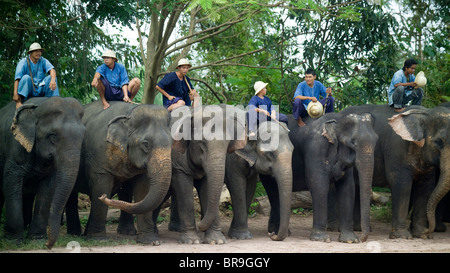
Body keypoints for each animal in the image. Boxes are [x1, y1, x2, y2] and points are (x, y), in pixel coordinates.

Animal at [0, 96, 85, 248]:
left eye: (83, 136)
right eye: (53, 135)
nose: (48, 245)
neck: (37, 108)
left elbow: (48, 188)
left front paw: (37, 240)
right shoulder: (15, 149)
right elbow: (11, 182)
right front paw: (14, 241)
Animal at [65, 100, 172, 242]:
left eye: (172, 143)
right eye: (145, 144)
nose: (103, 197)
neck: (128, 112)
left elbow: (143, 189)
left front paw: (150, 241)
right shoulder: (98, 157)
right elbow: (101, 185)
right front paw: (98, 239)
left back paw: (124, 232)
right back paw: (75, 233)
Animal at [262, 111, 378, 242]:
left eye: (376, 140)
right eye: (352, 143)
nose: (363, 238)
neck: (338, 120)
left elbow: (348, 188)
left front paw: (350, 240)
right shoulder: (316, 148)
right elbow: (319, 185)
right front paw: (321, 239)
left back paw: (274, 231)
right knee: (273, 191)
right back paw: (278, 232)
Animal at [342, 104, 450, 238]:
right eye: (439, 142)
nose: (428, 230)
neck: (426, 112)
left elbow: (426, 187)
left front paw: (421, 235)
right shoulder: (396, 149)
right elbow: (401, 185)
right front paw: (403, 236)